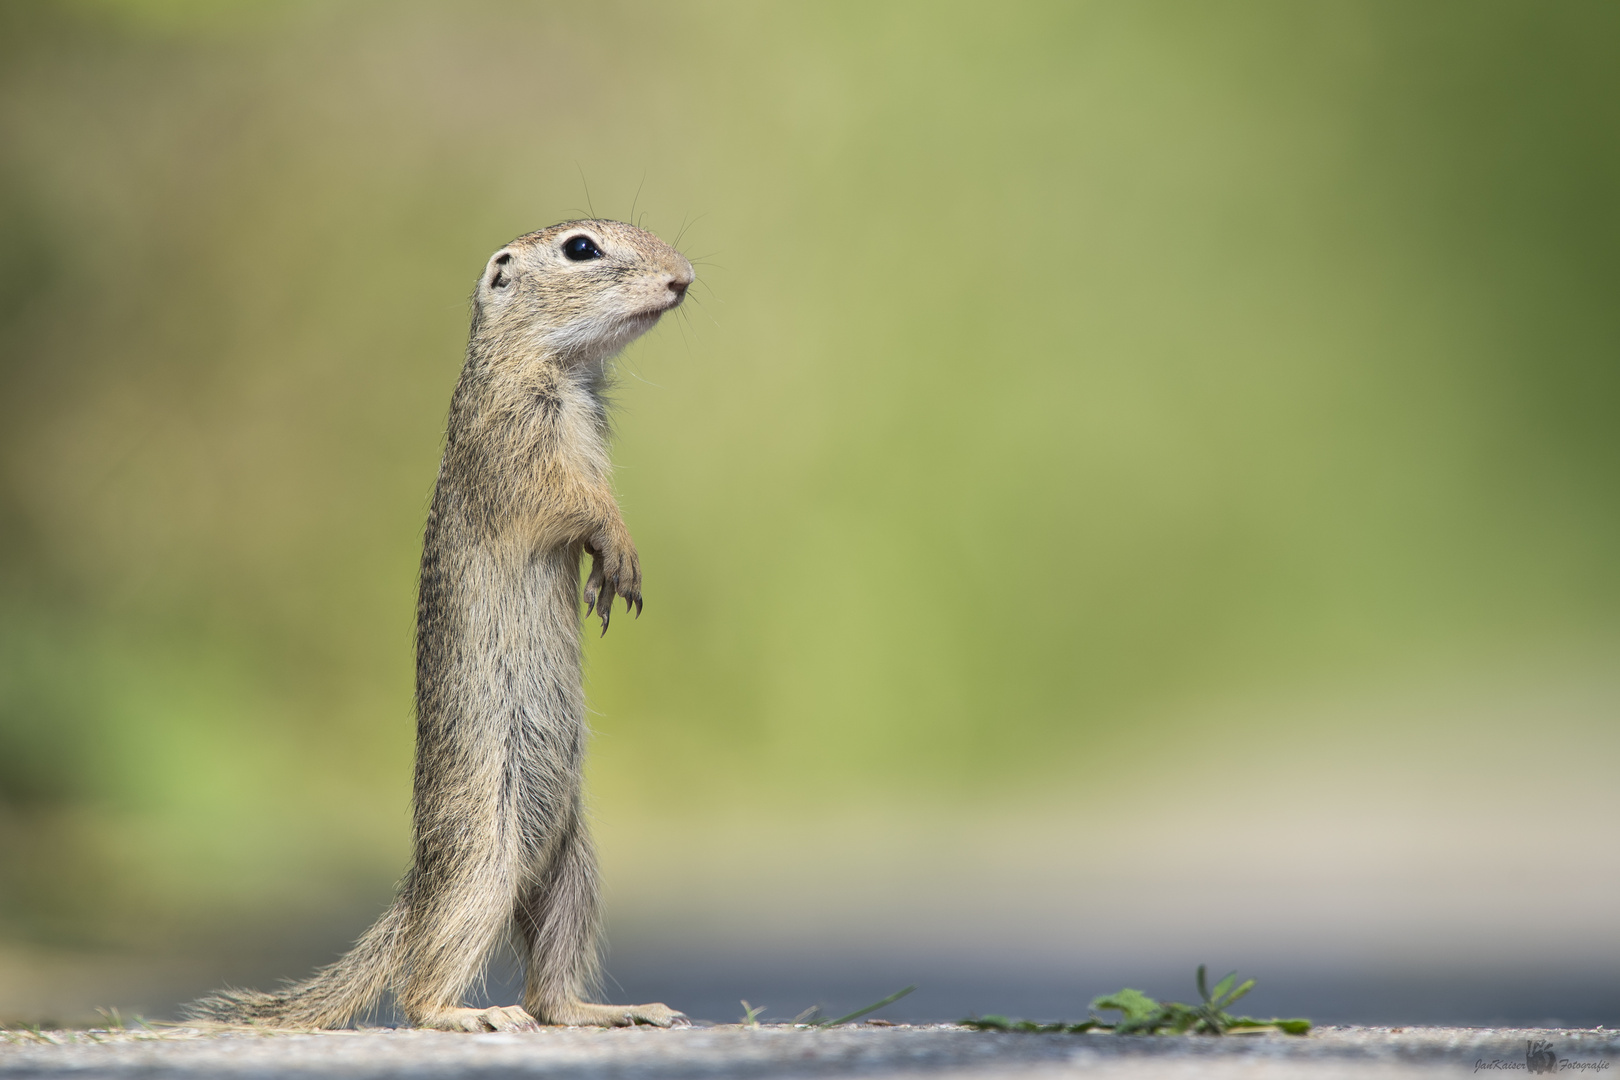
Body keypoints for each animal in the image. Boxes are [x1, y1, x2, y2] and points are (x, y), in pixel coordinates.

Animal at [187, 216, 696, 1029]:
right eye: (581, 248)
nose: (682, 277)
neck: (560, 372)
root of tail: (417, 886)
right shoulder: (517, 449)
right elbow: (576, 502)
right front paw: (618, 549)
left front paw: (608, 573)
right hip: (483, 864)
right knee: (424, 978)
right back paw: (466, 1013)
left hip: (574, 872)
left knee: (549, 993)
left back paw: (612, 1011)